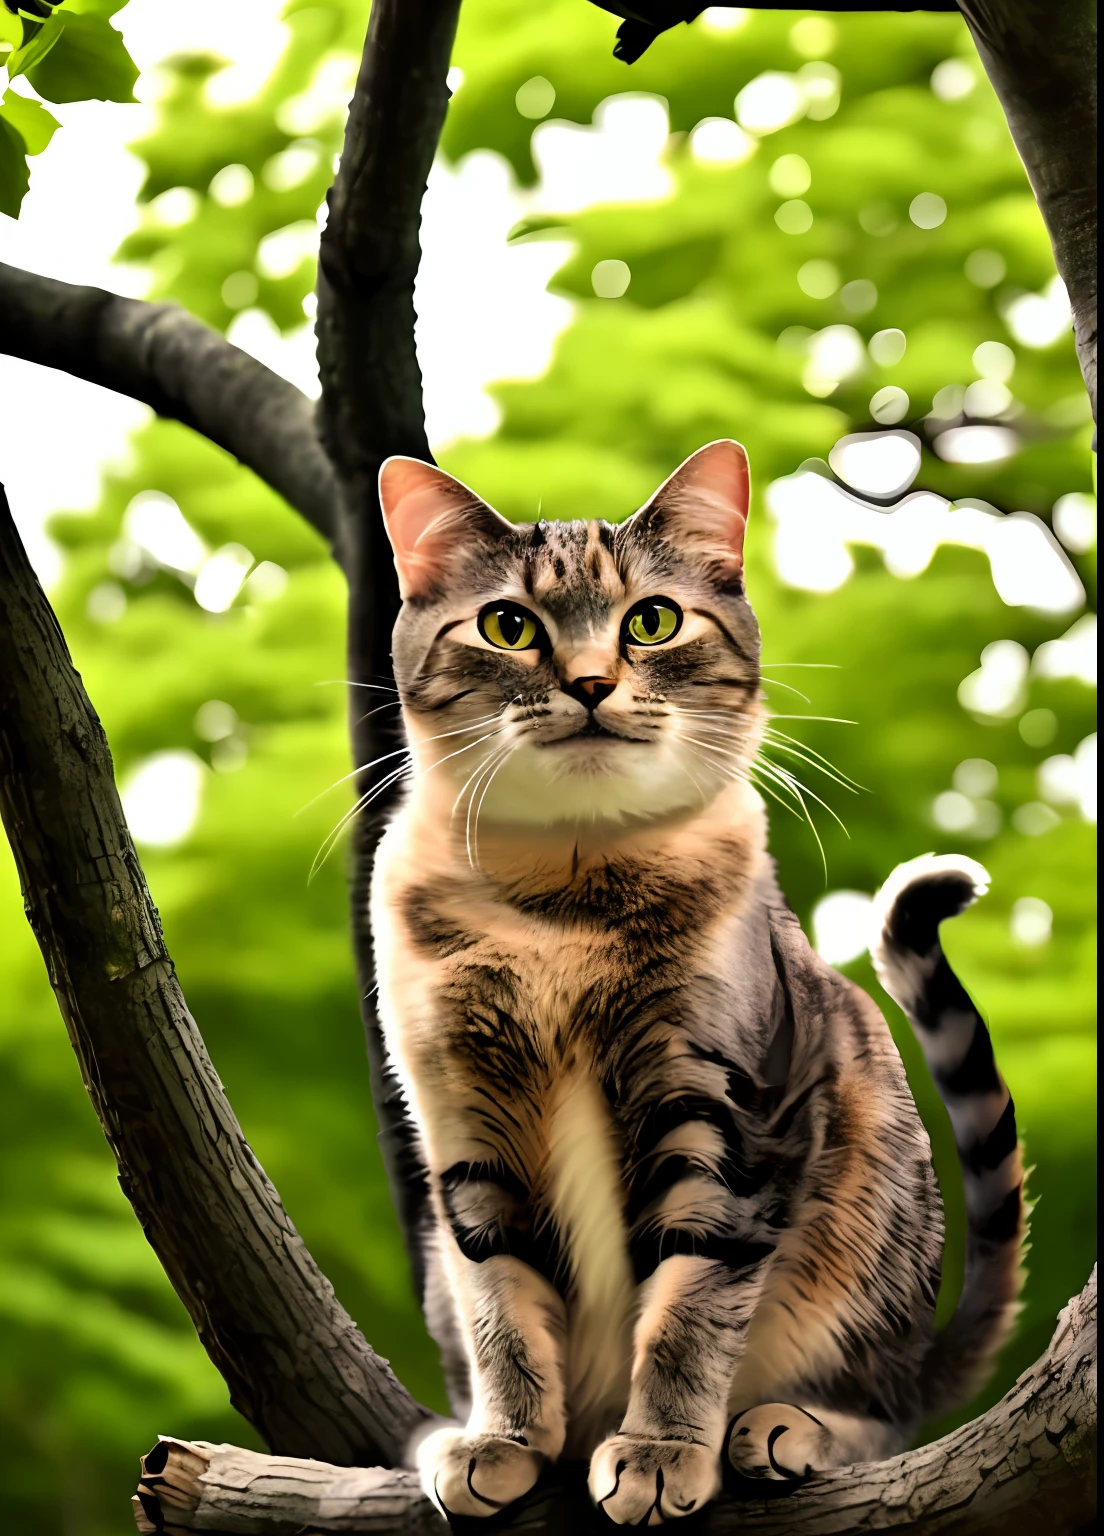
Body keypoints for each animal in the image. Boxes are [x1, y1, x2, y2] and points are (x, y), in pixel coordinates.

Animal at [371, 442, 1025, 1523]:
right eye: (510, 626)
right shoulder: (465, 1131)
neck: (562, 906)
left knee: (884, 1409)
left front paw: (661, 1448)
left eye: (652, 620)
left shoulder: (734, 1115)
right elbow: (500, 1305)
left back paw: (791, 1428)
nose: (593, 684)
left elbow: (691, 1309)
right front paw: (503, 1438)